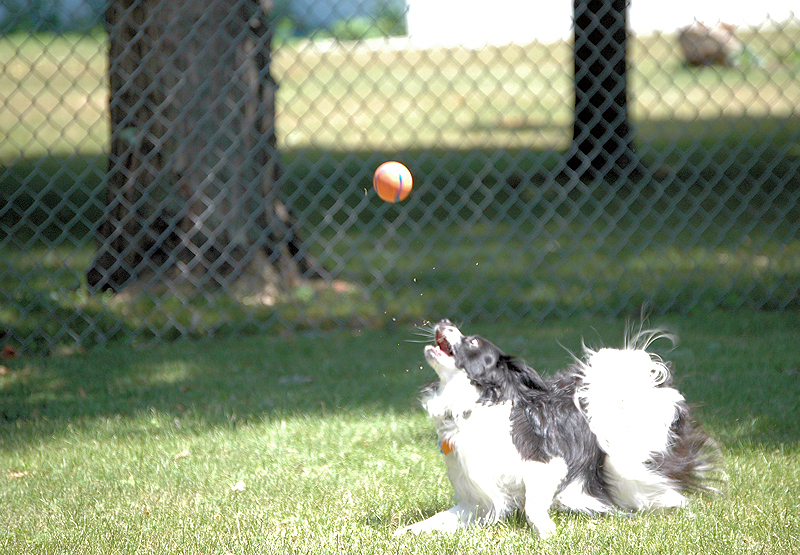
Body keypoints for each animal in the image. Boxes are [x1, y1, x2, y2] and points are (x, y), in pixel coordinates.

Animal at [398, 320, 720, 540]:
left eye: (473, 342)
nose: (444, 321)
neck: (477, 404)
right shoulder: (477, 498)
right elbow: (440, 519)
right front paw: (409, 531)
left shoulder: (547, 465)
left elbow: (532, 504)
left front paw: (545, 531)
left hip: (628, 464)